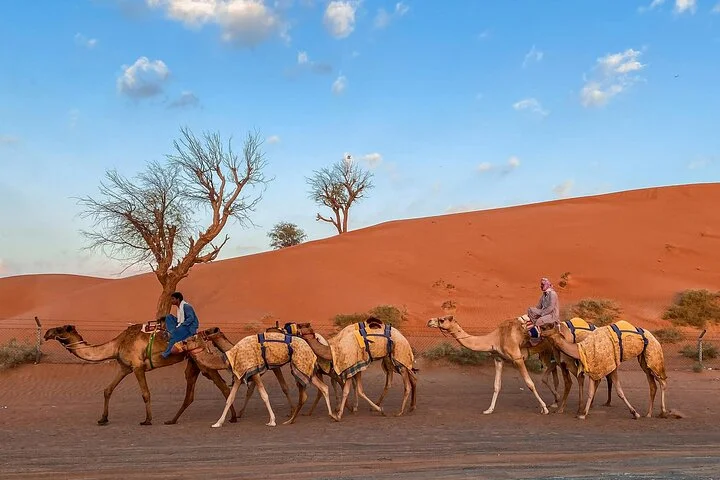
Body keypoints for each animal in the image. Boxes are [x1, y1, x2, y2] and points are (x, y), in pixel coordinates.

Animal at [43, 323, 237, 426]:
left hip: (202, 363)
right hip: (194, 363)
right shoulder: (124, 367)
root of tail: (203, 337)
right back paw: (172, 420)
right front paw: (103, 418)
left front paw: (147, 420)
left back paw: (233, 418)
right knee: (190, 394)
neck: (116, 345)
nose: (46, 333)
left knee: (223, 388)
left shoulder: (137, 367)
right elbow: (107, 390)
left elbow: (145, 393)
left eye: (60, 330)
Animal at [183, 329, 339, 427]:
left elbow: (264, 395)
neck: (229, 356)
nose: (182, 343)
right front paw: (218, 423)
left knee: (315, 388)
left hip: (300, 364)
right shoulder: (240, 375)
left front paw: (272, 421)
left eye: (189, 340)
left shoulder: (254, 372)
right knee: (323, 387)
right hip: (306, 367)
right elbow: (230, 399)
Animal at [427, 314, 557, 415]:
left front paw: (544, 408)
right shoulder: (498, 359)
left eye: (442, 319)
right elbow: (496, 386)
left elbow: (530, 383)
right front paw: (489, 410)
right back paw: (556, 402)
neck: (496, 338)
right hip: (548, 352)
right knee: (552, 372)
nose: (429, 321)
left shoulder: (517, 358)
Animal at [542, 320, 678, 419]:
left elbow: (619, 391)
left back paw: (663, 412)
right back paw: (649, 414)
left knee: (662, 381)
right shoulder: (594, 367)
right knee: (653, 385)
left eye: (548, 326)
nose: (539, 329)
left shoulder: (610, 366)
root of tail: (654, 337)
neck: (581, 349)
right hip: (644, 360)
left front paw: (635, 413)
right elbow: (590, 391)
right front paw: (583, 414)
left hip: (653, 355)